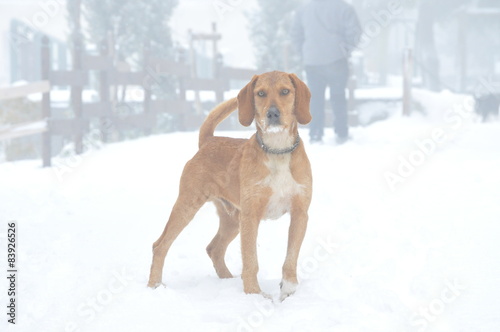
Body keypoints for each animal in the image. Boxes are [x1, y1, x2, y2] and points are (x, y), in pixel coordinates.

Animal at [147, 70, 312, 300]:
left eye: (285, 91)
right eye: (261, 93)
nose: (272, 114)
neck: (277, 150)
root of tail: (208, 141)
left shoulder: (300, 213)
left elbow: (291, 257)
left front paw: (288, 290)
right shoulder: (251, 215)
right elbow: (250, 260)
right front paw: (253, 294)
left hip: (232, 218)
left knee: (214, 248)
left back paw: (227, 280)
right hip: (187, 205)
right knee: (160, 245)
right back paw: (154, 286)